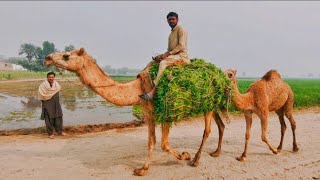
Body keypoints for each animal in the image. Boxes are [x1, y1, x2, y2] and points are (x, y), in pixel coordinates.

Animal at [43, 47, 226, 176]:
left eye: (66, 55)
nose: (47, 58)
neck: (138, 89)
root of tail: (219, 74)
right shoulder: (149, 113)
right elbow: (152, 141)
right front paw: (142, 169)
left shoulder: (165, 112)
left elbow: (164, 143)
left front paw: (185, 155)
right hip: (213, 104)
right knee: (221, 125)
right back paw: (216, 153)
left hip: (208, 105)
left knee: (207, 130)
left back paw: (196, 160)